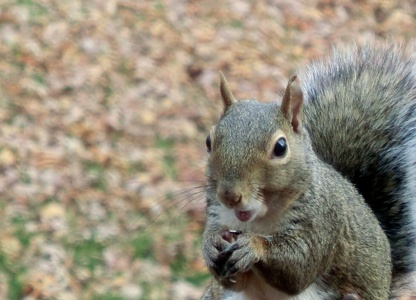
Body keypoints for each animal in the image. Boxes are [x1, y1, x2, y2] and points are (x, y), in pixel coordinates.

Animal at [200, 43, 414, 298]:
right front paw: (210, 245)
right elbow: (232, 280)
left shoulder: (322, 223)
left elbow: (299, 268)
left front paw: (254, 246)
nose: (230, 196)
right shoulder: (217, 215)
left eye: (280, 147)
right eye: (209, 141)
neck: (259, 220)